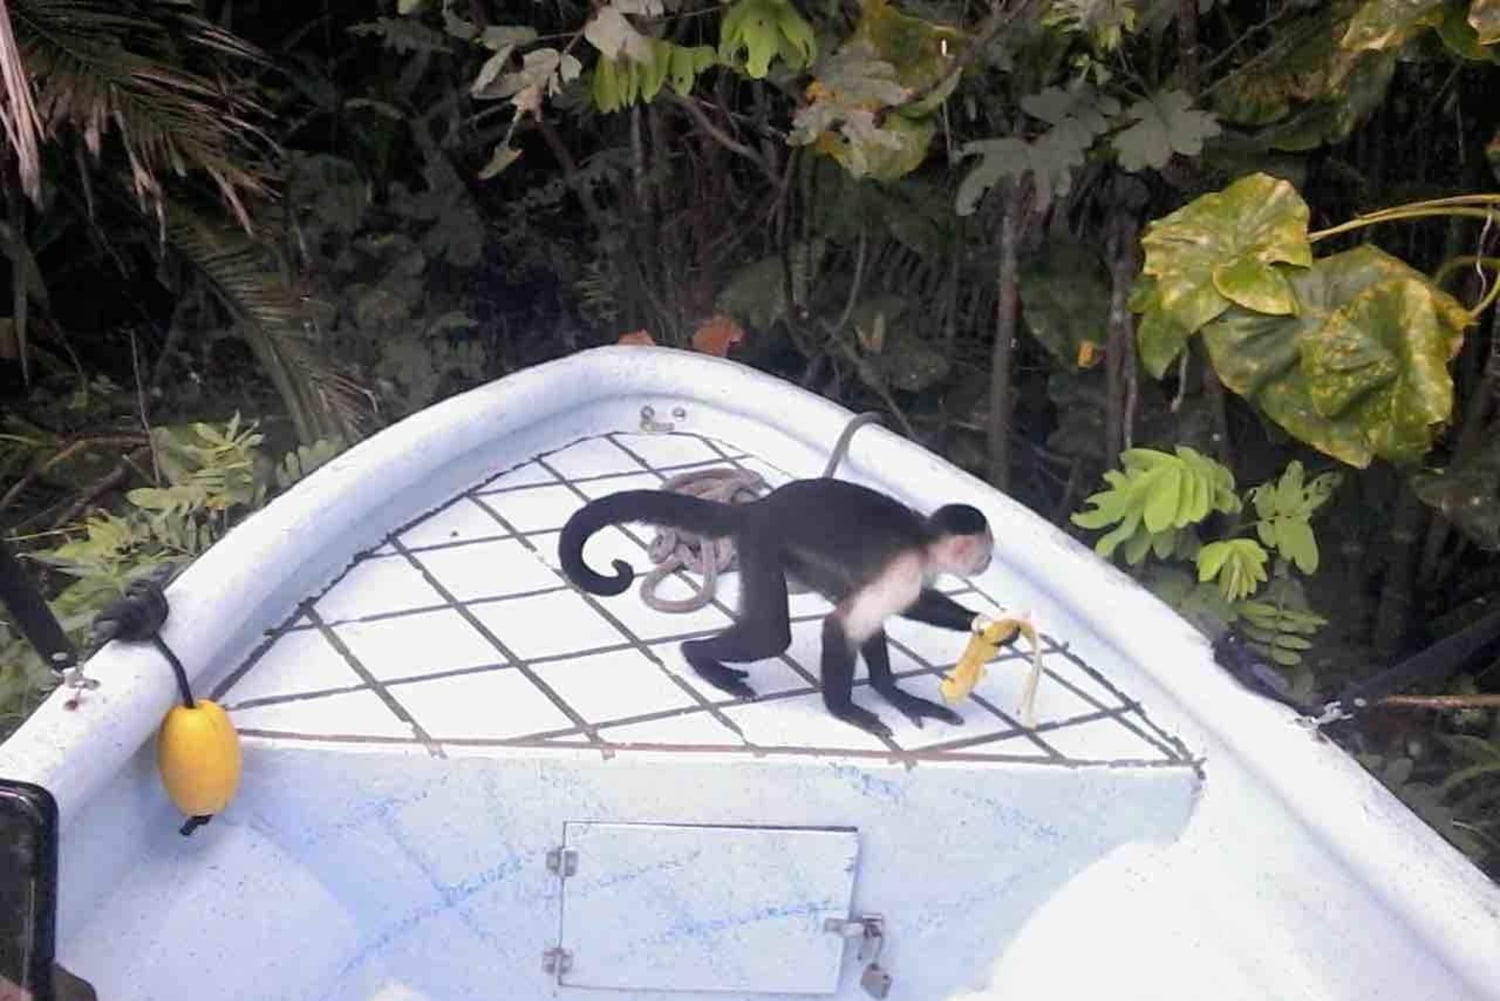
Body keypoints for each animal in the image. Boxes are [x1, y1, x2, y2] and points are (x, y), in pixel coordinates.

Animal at [558, 477, 1007, 737]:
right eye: (986, 552)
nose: (988, 562)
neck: (923, 541)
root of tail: (756, 507)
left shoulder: (915, 577)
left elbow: (902, 610)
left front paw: (985, 626)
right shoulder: (903, 571)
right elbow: (841, 626)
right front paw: (844, 710)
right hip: (762, 541)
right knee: (772, 635)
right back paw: (698, 658)